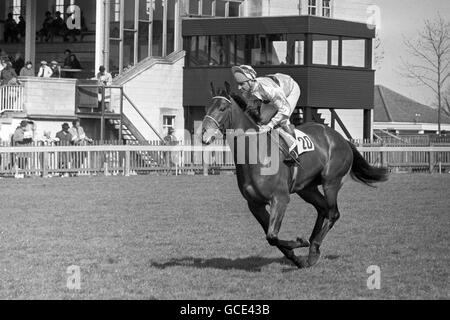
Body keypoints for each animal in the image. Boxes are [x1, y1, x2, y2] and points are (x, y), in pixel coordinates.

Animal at [202, 82, 388, 268]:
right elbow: (271, 237)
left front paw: (300, 242)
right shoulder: (255, 204)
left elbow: (272, 236)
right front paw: (297, 258)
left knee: (333, 213)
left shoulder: (280, 198)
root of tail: (342, 139)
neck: (256, 155)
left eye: (222, 108)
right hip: (307, 188)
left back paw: (314, 246)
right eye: (206, 108)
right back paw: (312, 248)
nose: (204, 134)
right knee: (323, 208)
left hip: (331, 182)